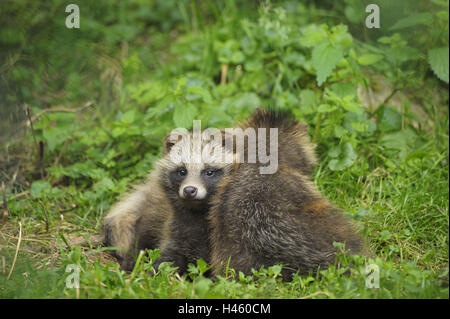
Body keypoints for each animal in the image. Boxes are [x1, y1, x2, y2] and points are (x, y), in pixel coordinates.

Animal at [103, 128, 236, 276]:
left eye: (209, 172)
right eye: (182, 171)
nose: (189, 190)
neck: (197, 212)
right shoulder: (174, 229)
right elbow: (167, 259)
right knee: (141, 239)